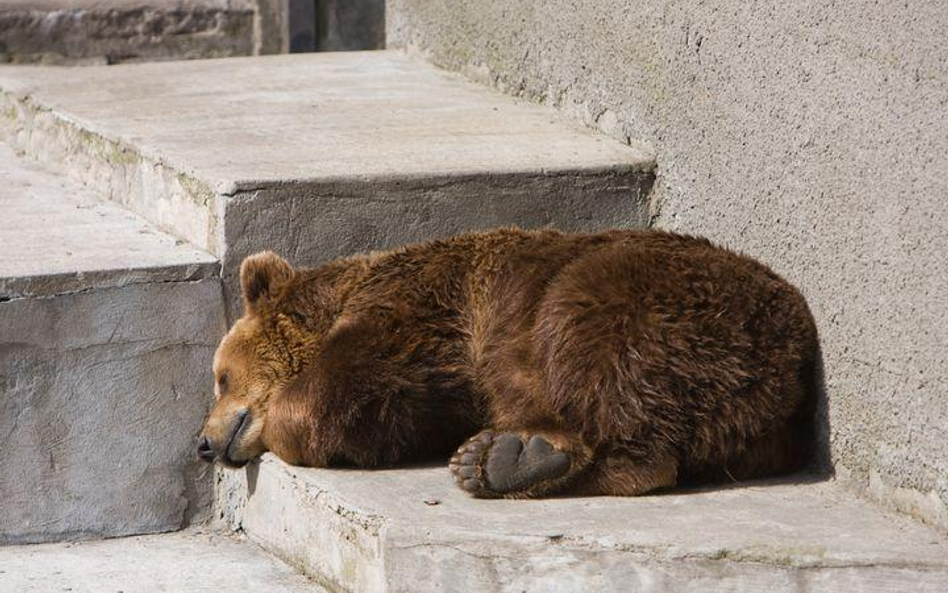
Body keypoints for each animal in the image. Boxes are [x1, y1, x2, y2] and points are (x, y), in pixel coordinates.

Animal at [196, 229, 820, 498]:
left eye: (221, 377)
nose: (203, 443)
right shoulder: (438, 393)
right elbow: (387, 420)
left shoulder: (421, 312)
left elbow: (349, 382)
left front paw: (288, 423)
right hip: (745, 413)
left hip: (643, 295)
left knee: (590, 350)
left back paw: (514, 460)